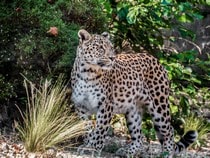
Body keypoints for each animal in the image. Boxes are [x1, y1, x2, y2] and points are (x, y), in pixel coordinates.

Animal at [71, 29, 198, 157]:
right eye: (100, 48)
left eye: (111, 48)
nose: (112, 58)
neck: (87, 73)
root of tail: (155, 60)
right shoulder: (81, 106)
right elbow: (86, 128)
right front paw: (87, 144)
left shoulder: (105, 106)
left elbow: (99, 130)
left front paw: (92, 149)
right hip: (133, 111)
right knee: (139, 136)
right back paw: (127, 151)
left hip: (159, 107)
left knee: (169, 131)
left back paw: (166, 153)